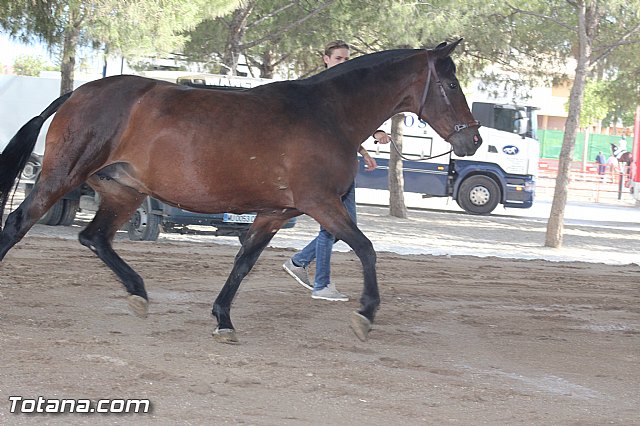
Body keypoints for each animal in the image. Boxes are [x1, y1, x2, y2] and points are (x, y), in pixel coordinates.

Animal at [0, 39, 481, 343]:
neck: (327, 113)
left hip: (124, 191)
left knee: (94, 237)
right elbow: (365, 248)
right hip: (63, 177)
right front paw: (365, 314)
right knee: (18, 223)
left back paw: (138, 293)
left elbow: (243, 263)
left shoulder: (275, 213)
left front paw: (223, 321)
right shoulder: (321, 203)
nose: (473, 141)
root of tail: (76, 93)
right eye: (451, 83)